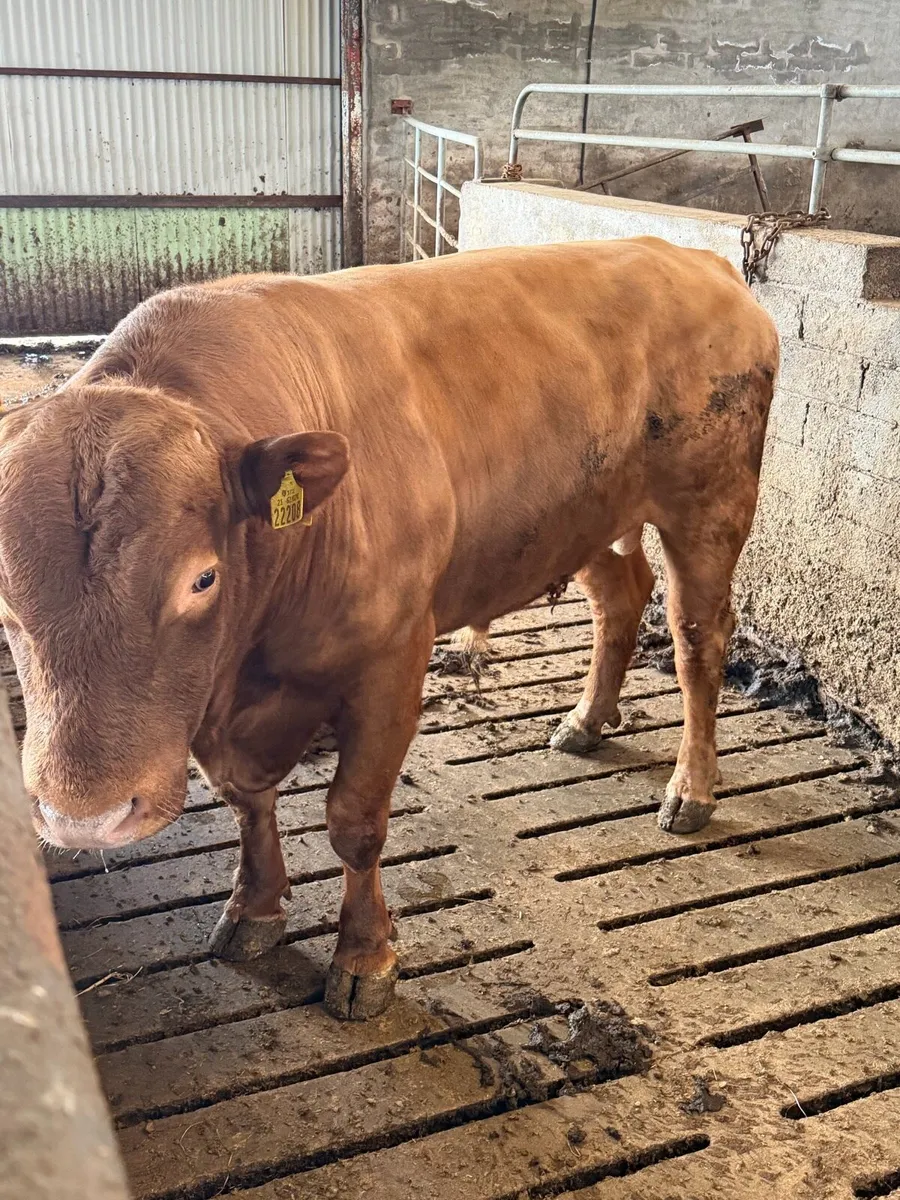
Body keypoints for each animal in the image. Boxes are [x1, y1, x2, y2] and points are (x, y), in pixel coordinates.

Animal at [0, 238, 778, 1019]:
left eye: (202, 578)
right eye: (3, 596)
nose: (82, 818)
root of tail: (686, 254)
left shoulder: (391, 665)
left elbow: (355, 822)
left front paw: (364, 958)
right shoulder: (214, 713)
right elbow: (248, 802)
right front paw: (254, 910)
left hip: (710, 506)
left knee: (697, 638)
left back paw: (692, 788)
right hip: (584, 515)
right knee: (620, 597)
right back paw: (586, 721)